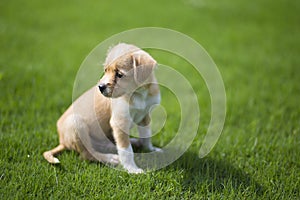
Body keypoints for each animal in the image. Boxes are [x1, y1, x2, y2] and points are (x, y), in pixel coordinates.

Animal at [43, 42, 161, 173]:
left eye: (119, 74)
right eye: (105, 70)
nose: (100, 87)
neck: (138, 93)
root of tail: (62, 141)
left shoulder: (145, 115)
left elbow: (146, 136)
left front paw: (150, 149)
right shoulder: (119, 121)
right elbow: (126, 149)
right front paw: (132, 169)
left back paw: (134, 143)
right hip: (77, 124)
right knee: (87, 154)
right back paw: (111, 159)